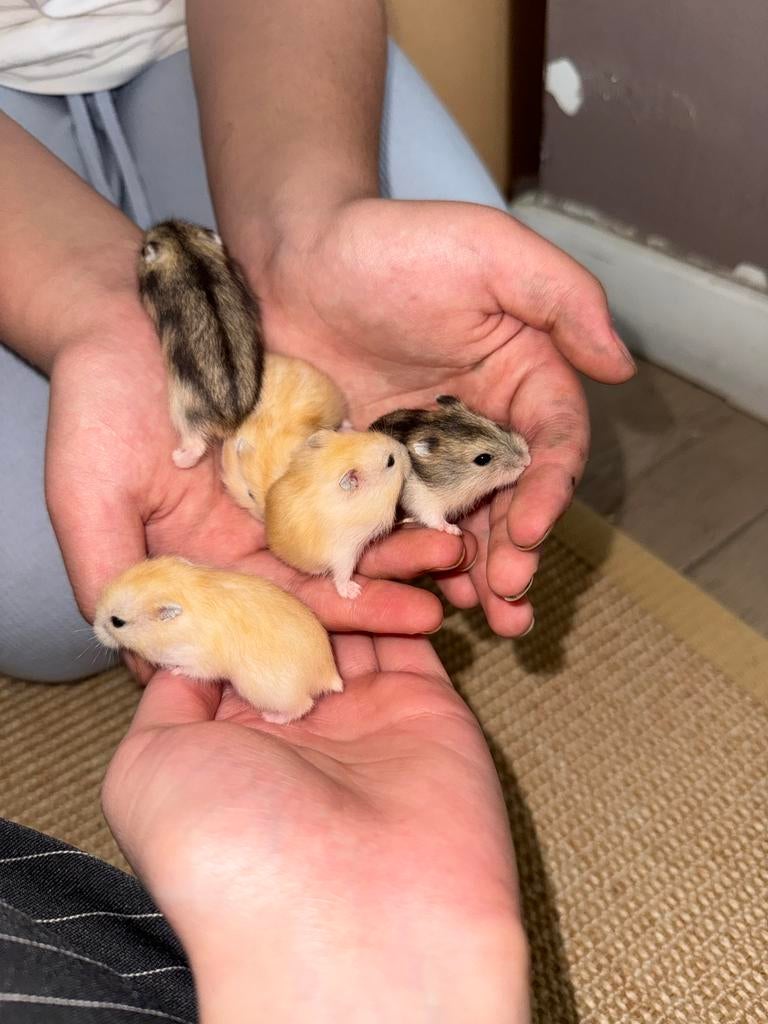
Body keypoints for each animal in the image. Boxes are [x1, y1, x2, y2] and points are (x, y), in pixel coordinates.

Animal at [93, 556, 342, 724]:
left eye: (117, 622)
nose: (93, 628)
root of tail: (330, 675)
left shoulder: (198, 660)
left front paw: (173, 670)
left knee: (304, 705)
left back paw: (270, 717)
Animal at [137, 219, 264, 469]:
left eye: (143, 249)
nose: (159, 225)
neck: (185, 248)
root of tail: (231, 422)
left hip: (182, 410)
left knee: (196, 445)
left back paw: (177, 457)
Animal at [370, 395, 531, 534]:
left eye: (496, 425)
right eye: (482, 459)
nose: (527, 460)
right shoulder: (425, 502)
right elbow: (435, 520)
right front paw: (456, 531)